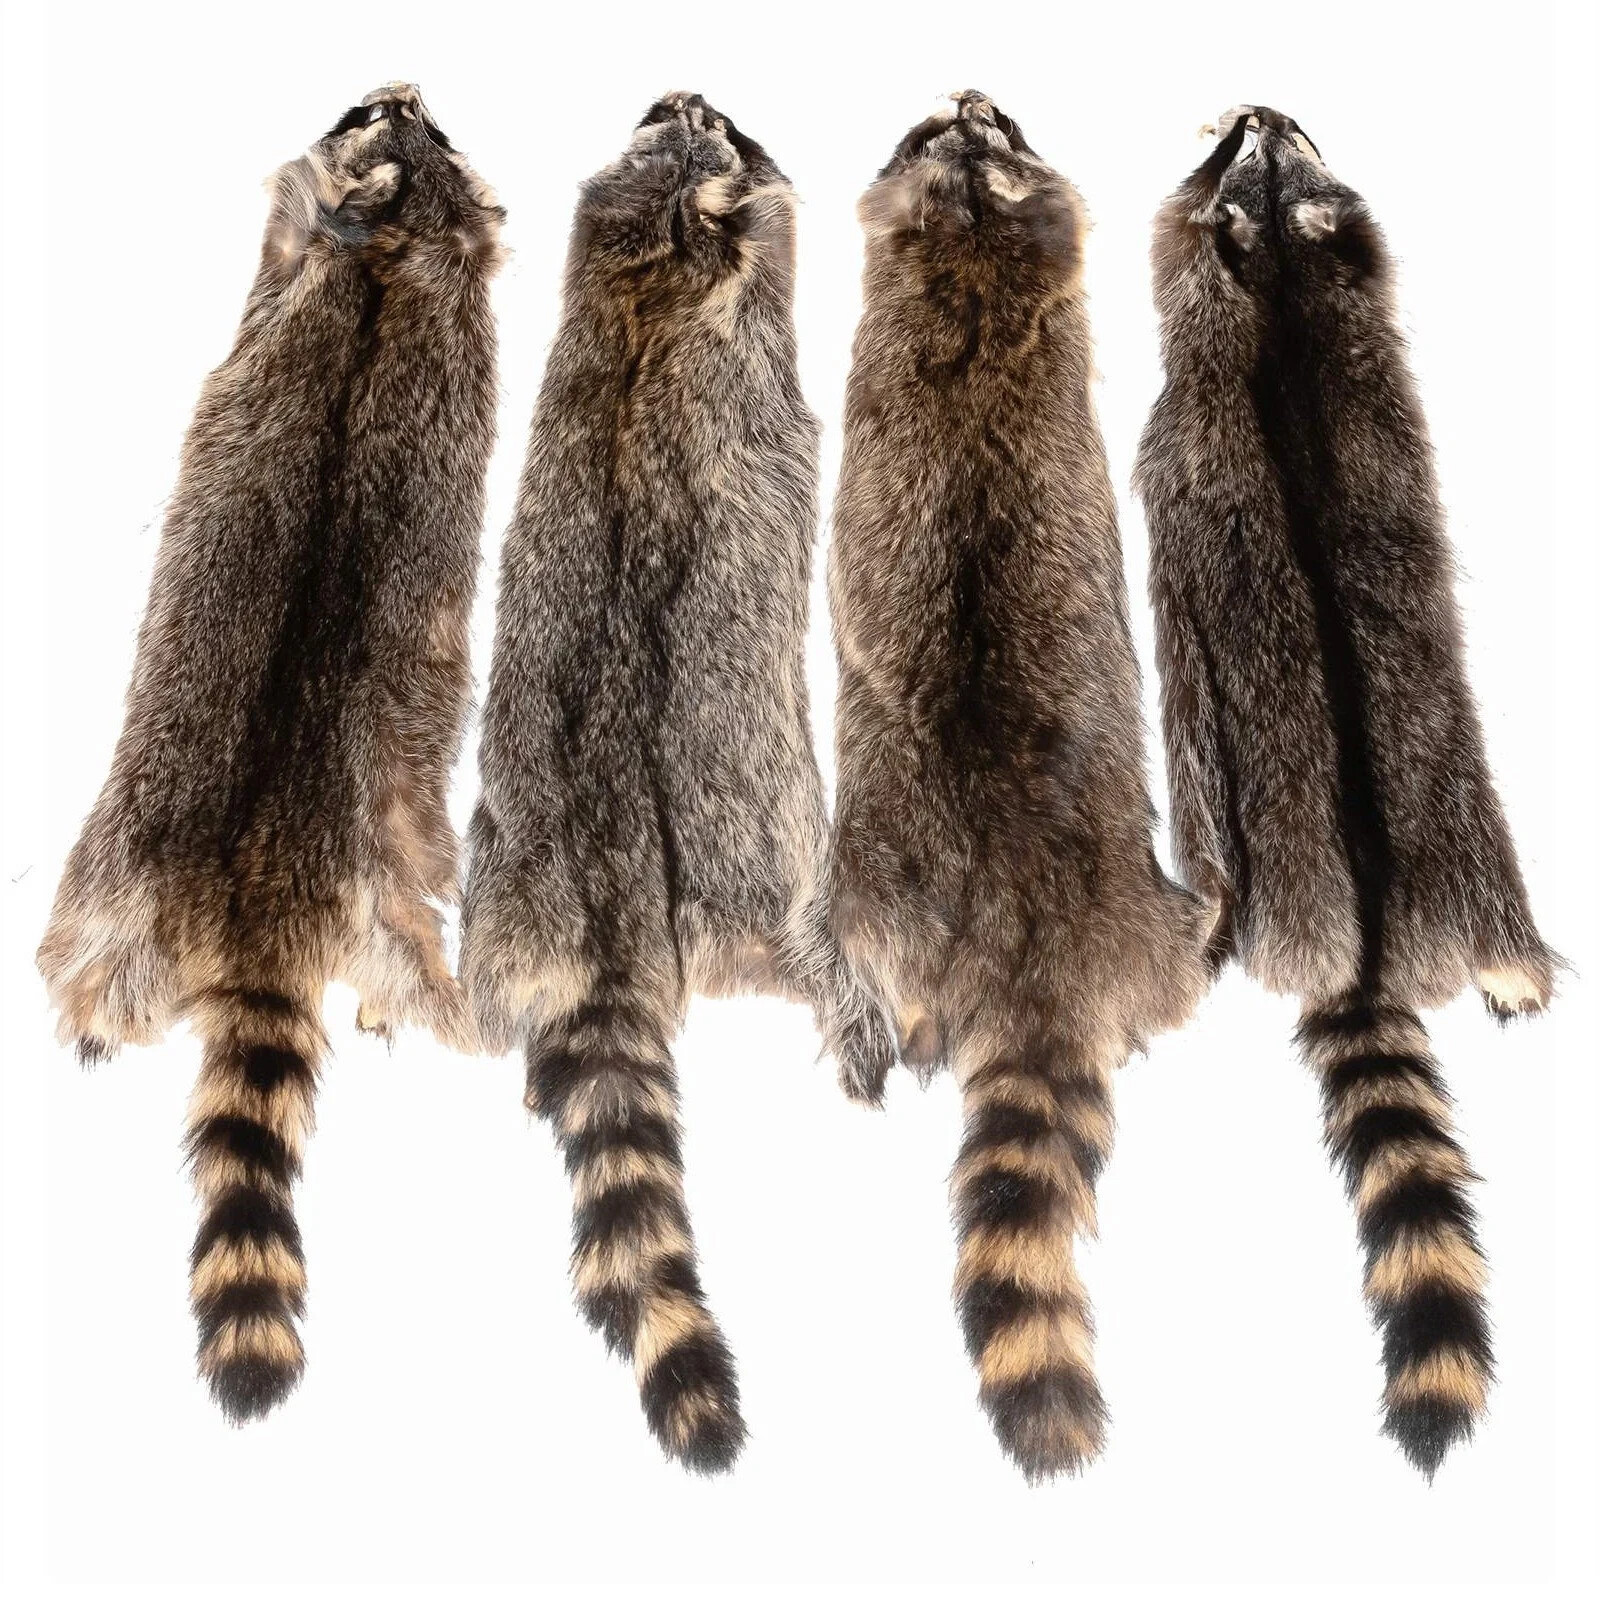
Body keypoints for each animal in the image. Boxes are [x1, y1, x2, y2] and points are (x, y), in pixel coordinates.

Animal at [37, 84, 504, 1421]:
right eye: (381, 108)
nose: (407, 82)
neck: (383, 244)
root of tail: (261, 892)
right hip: (250, 851)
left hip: (160, 856)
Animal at [459, 92, 889, 1473]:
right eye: (717, 129)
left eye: (682, 119)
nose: (685, 93)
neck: (651, 265)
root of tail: (596, 895)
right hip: (757, 815)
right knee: (806, 913)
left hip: (501, 873)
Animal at [827, 92, 1214, 1479]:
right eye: (945, 123)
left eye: (986, 119)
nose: (964, 88)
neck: (970, 248)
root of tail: (1029, 935)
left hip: (876, 870)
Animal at [1134, 106, 1557, 1474]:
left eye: (1272, 139)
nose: (1255, 106)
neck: (1275, 279)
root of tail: (1363, 931)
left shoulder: (1171, 455)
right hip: (1451, 808)